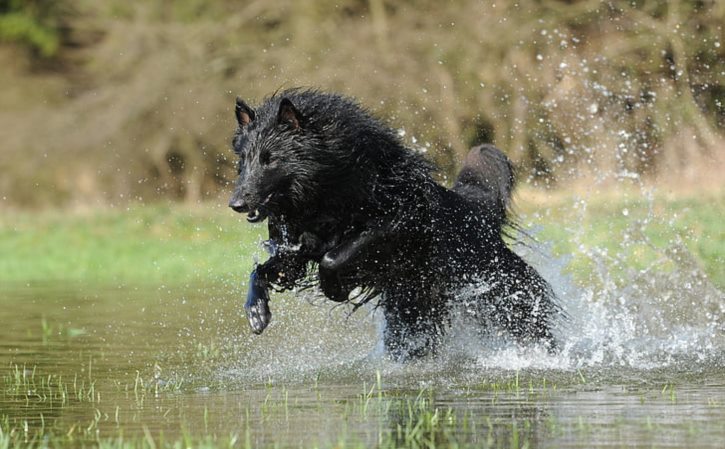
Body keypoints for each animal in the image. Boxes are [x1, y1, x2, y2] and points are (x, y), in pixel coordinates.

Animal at [229, 89, 556, 358]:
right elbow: (262, 271)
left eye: (270, 159)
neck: (329, 185)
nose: (236, 203)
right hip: (411, 315)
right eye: (244, 161)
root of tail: (478, 214)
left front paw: (335, 288)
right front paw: (256, 311)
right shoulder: (296, 250)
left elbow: (334, 258)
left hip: (507, 300)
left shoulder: (396, 222)